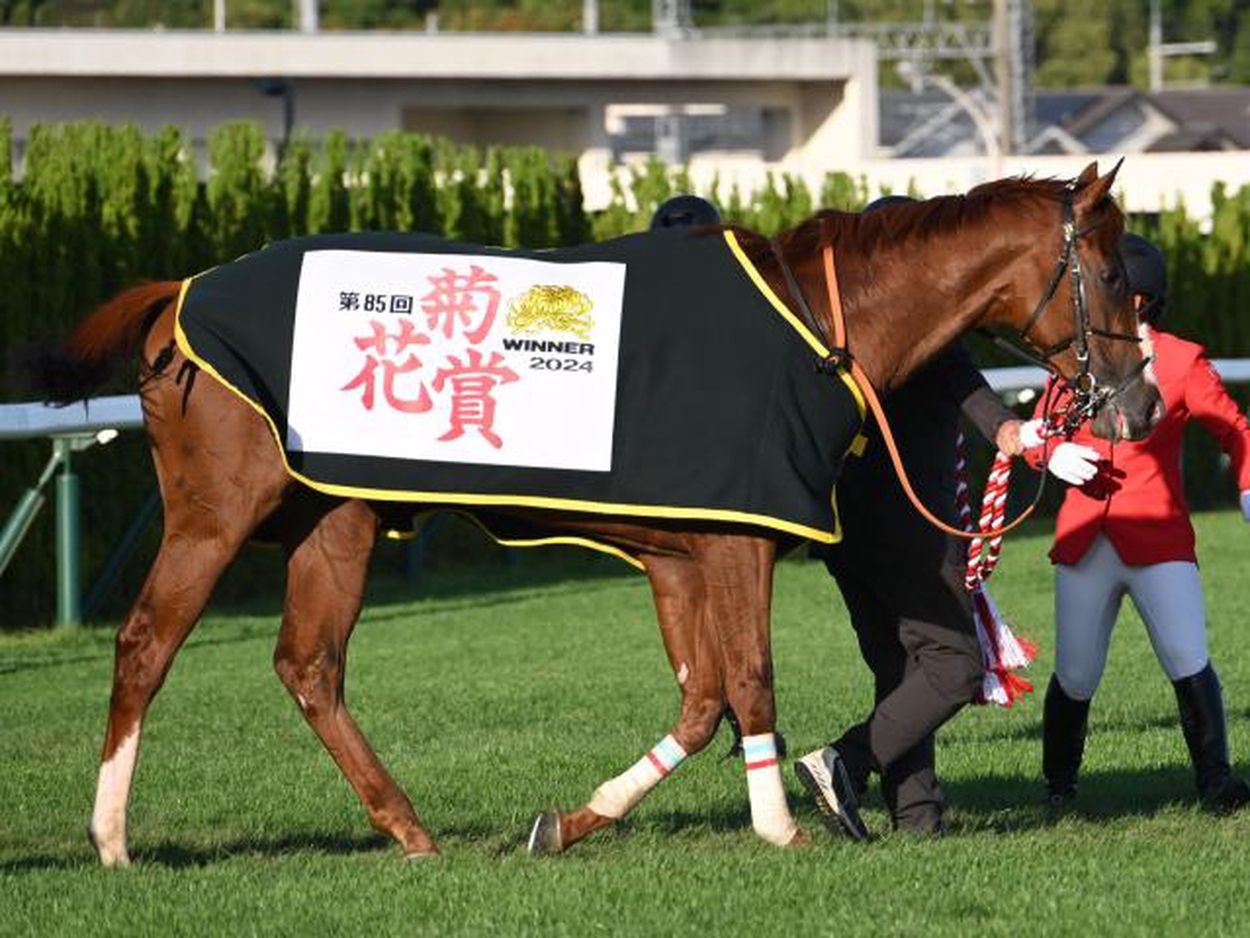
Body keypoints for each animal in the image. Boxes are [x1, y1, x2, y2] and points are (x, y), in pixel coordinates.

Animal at [31, 161, 1160, 865]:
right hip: (217, 513)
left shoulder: (679, 552)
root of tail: (180, 294)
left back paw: (408, 830)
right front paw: (781, 825)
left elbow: (702, 699)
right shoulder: (739, 538)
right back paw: (112, 837)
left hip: (336, 518)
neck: (812, 321)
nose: (1138, 403)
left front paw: (571, 821)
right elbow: (749, 681)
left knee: (309, 665)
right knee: (147, 641)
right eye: (1111, 271)